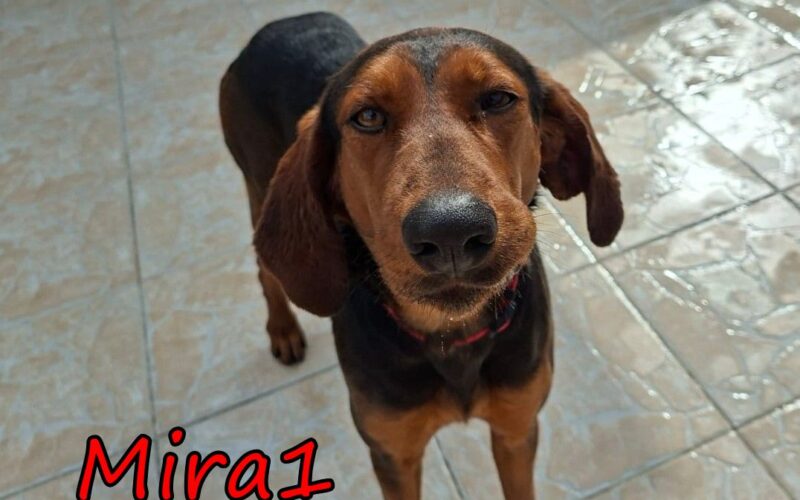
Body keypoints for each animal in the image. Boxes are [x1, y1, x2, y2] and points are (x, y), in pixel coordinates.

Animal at [220, 12, 623, 500]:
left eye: (498, 98)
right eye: (368, 116)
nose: (451, 231)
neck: (449, 335)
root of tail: (283, 21)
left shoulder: (517, 428)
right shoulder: (393, 453)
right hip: (258, 189)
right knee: (266, 271)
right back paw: (283, 331)